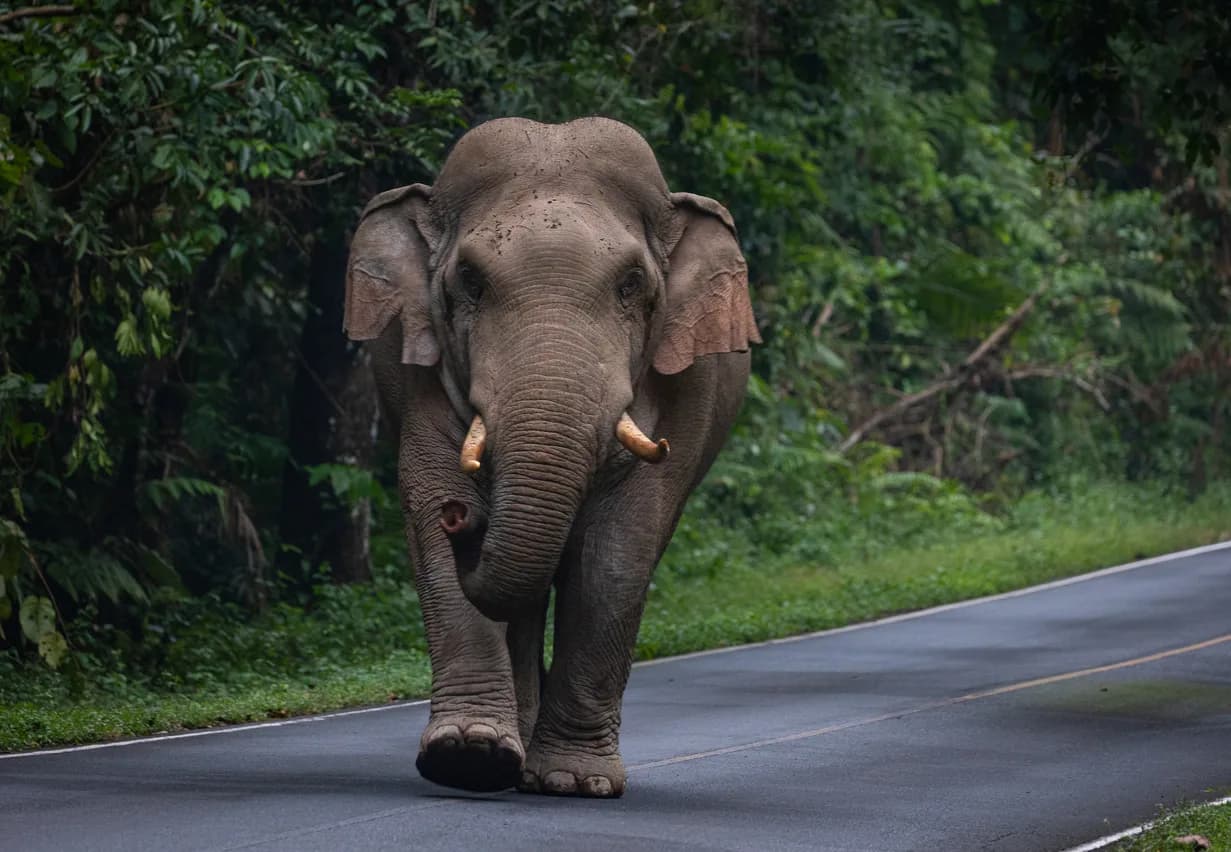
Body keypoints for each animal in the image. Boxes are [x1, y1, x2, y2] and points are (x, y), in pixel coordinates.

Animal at [343, 116, 759, 798]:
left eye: (632, 285)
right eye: (470, 282)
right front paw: (468, 756)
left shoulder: (684, 391)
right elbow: (428, 503)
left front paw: (573, 782)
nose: (466, 517)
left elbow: (617, 551)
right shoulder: (417, 370)